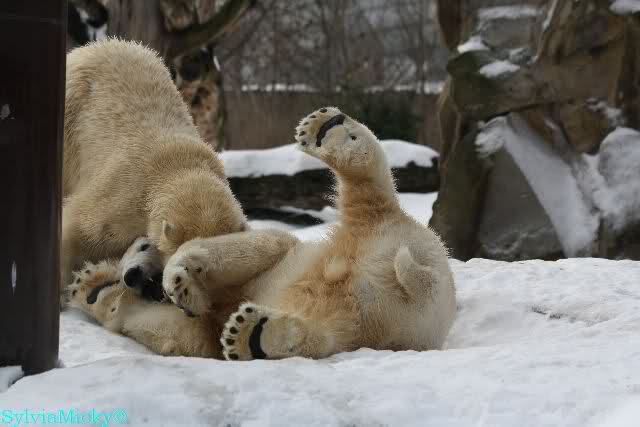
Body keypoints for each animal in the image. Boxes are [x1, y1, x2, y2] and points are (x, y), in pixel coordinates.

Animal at [71, 107, 457, 361]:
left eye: (144, 244)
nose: (135, 276)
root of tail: (424, 283)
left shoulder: (275, 250)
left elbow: (258, 248)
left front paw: (182, 275)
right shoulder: (204, 322)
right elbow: (189, 335)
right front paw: (94, 287)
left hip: (385, 241)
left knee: (369, 193)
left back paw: (327, 131)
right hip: (380, 322)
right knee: (331, 333)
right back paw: (254, 335)